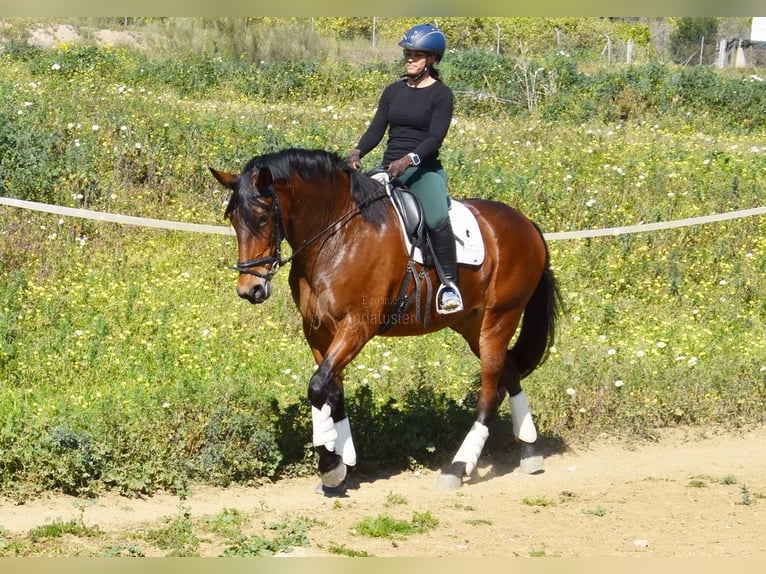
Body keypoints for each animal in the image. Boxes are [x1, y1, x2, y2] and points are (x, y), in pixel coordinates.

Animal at [212, 148, 564, 496]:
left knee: (490, 392)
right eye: (233, 219)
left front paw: (329, 466)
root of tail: (527, 224)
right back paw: (530, 452)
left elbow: (317, 387)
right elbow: (332, 392)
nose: (250, 290)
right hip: (472, 325)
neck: (337, 236)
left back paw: (458, 467)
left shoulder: (356, 327)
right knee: (510, 370)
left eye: (262, 218)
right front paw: (343, 465)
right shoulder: (317, 331)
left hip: (499, 318)